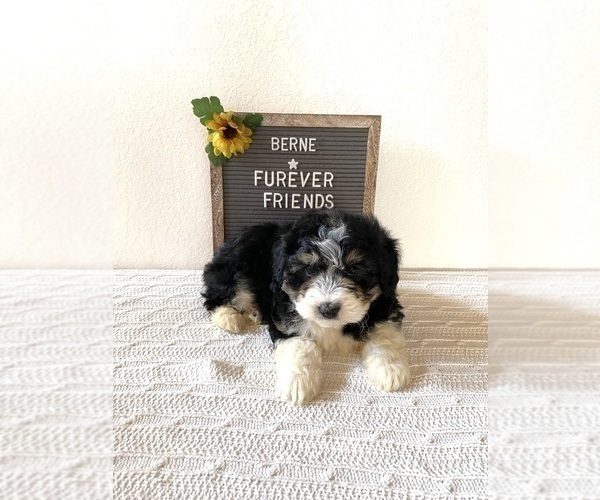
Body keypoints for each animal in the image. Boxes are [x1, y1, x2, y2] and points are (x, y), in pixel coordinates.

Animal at [204, 209, 410, 404]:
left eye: (353, 269)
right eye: (309, 269)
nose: (328, 309)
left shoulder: (385, 306)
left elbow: (384, 335)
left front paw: (390, 369)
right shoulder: (286, 320)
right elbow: (300, 346)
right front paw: (297, 383)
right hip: (238, 267)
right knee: (221, 294)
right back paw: (229, 318)